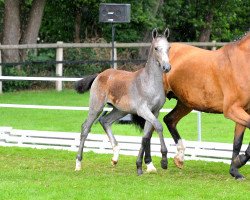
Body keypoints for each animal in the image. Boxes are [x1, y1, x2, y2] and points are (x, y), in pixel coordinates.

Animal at [75, 28, 171, 175]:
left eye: (169, 47)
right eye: (156, 48)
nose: (167, 67)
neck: (149, 82)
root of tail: (100, 75)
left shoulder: (155, 111)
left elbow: (146, 136)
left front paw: (144, 166)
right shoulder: (143, 110)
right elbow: (159, 127)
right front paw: (164, 161)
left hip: (120, 110)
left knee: (105, 121)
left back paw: (115, 157)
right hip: (96, 107)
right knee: (85, 128)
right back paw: (78, 163)